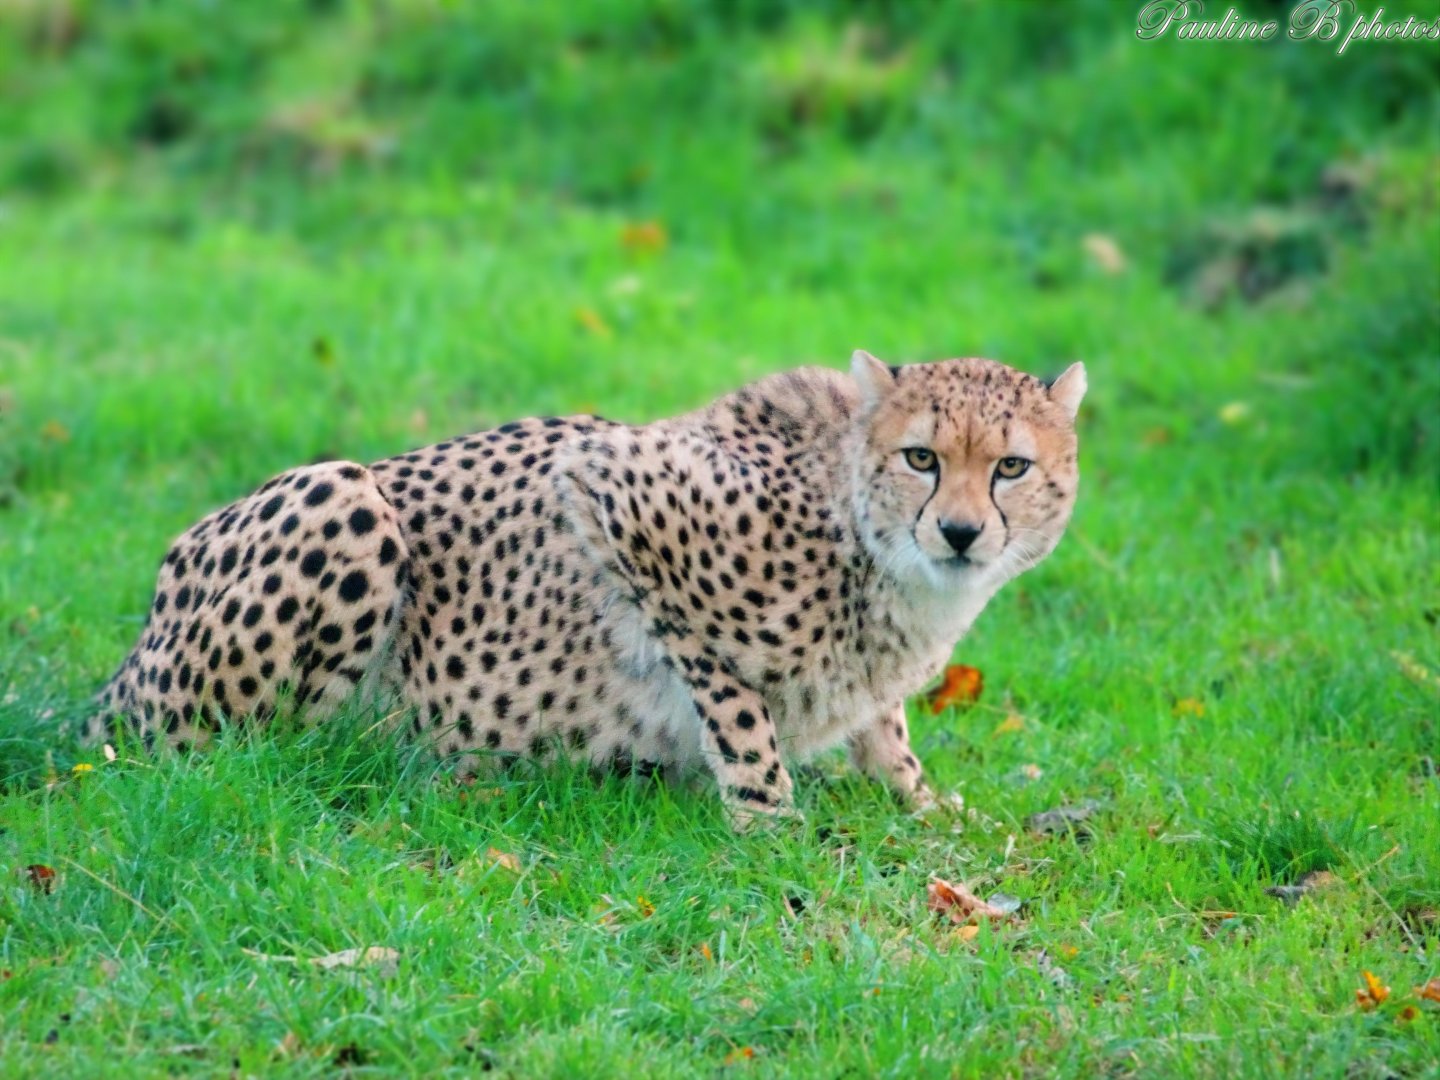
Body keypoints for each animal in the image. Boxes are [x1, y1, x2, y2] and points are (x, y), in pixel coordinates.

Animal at [85, 351, 1087, 827]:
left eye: (1010, 467)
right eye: (921, 459)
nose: (960, 533)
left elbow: (886, 731)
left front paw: (924, 803)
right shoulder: (614, 489)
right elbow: (738, 710)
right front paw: (770, 822)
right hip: (345, 496)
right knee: (241, 761)